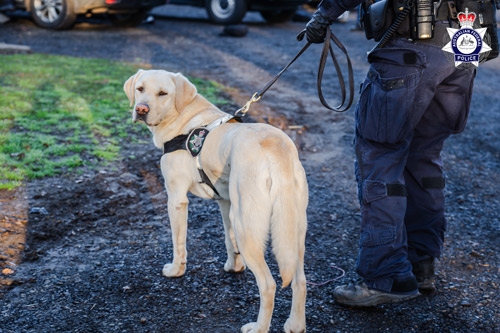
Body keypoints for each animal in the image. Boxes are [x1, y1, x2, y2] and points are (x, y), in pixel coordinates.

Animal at [123, 68, 306, 330]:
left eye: (163, 93)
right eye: (140, 89)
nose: (141, 109)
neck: (184, 117)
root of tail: (277, 148)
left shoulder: (176, 199)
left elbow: (179, 243)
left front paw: (175, 270)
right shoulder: (226, 203)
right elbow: (229, 241)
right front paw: (234, 267)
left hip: (247, 226)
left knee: (269, 285)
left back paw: (258, 327)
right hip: (292, 231)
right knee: (300, 280)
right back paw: (295, 325)